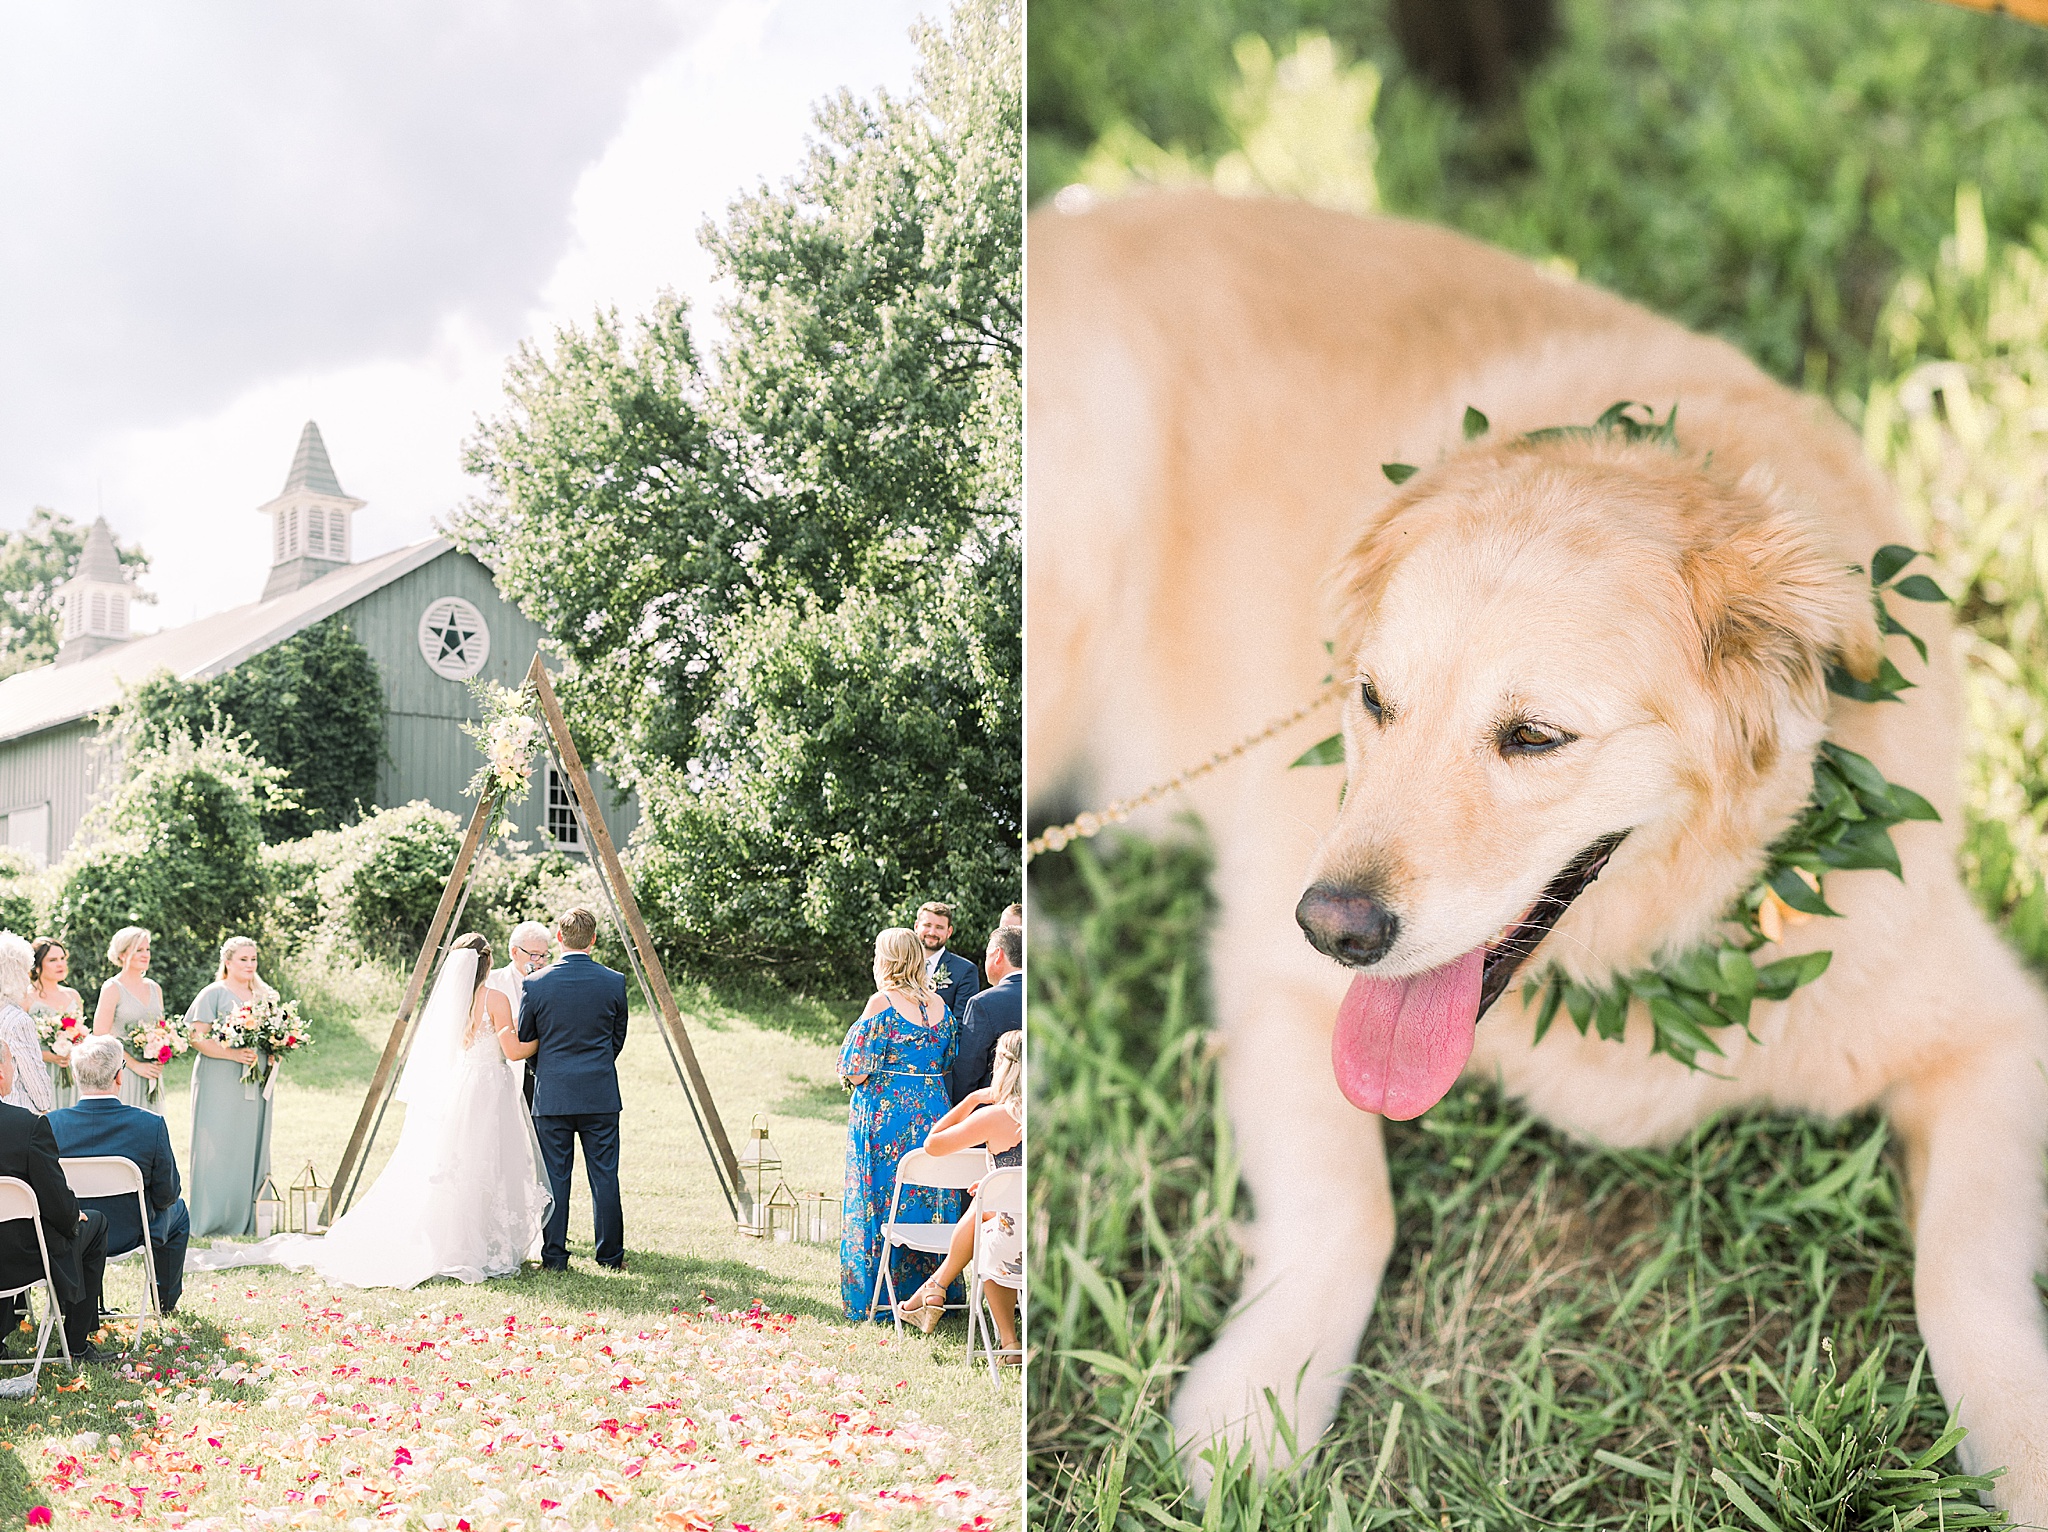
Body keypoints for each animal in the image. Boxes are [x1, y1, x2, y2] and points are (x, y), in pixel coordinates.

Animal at [1032, 194, 2048, 1523]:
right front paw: (1256, 1405)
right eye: (1371, 698)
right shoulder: (1272, 980)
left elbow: (1963, 1280)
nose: (1332, 926)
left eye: (1533, 737)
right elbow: (1347, 1209)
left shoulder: (1994, 1028)